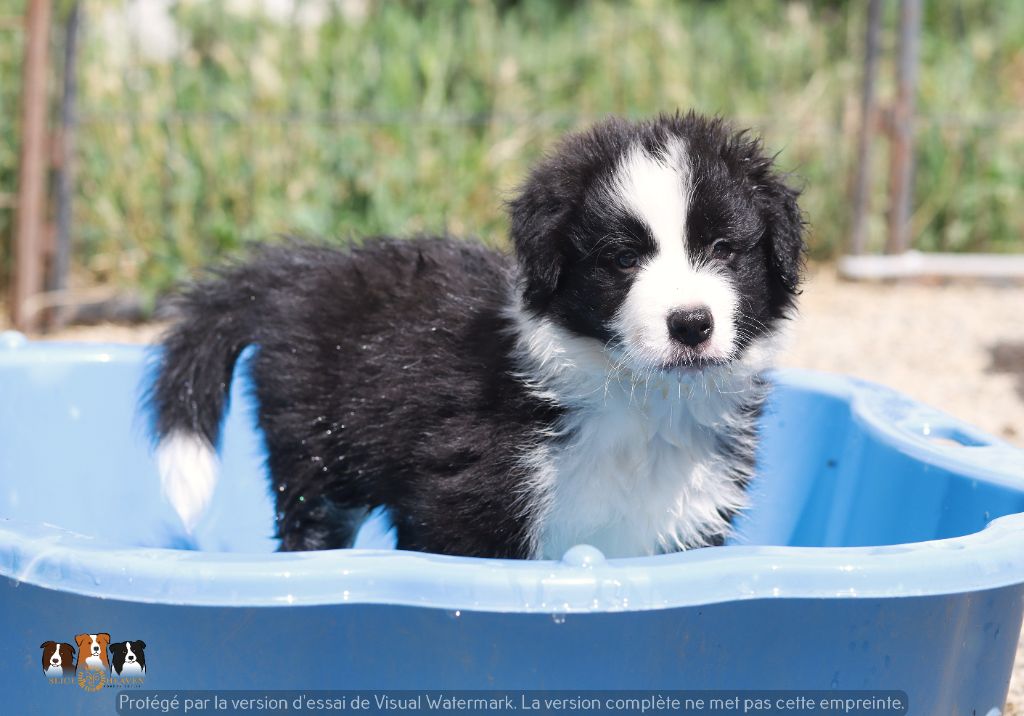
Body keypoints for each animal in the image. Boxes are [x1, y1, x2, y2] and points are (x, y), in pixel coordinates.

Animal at [149, 112, 806, 561]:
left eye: (723, 248)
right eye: (623, 259)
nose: (691, 323)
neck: (638, 401)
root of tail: (299, 273)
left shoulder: (686, 519)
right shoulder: (461, 505)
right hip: (315, 448)